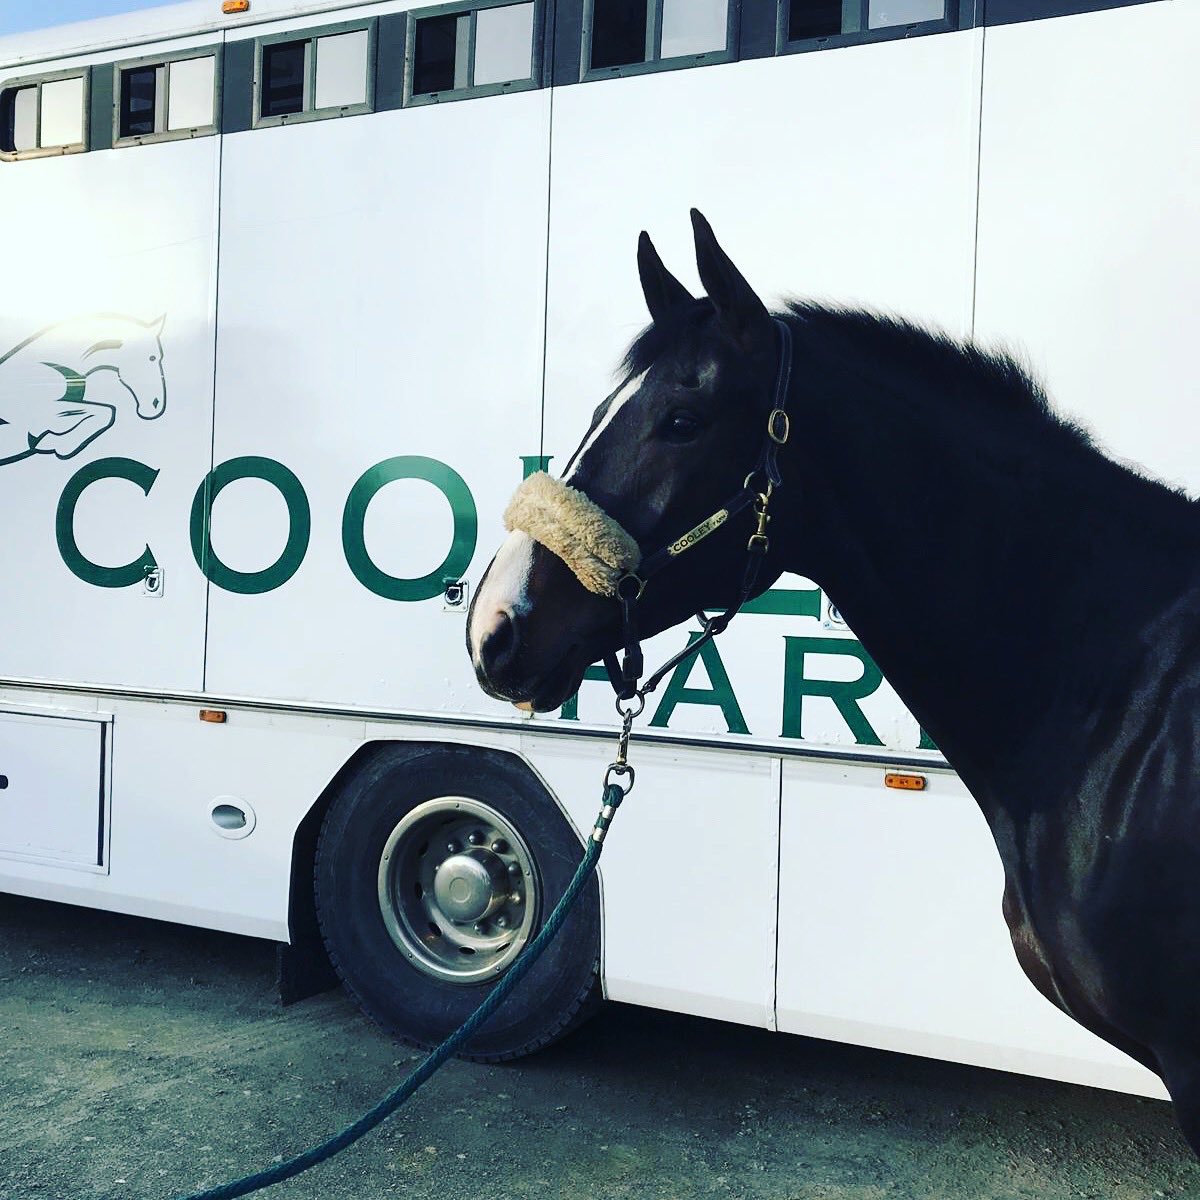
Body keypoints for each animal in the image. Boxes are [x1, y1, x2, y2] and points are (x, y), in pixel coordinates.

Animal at [0, 314, 167, 467]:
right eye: (152, 358)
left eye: (159, 357)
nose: (155, 404)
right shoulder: (39, 411)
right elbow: (104, 411)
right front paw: (55, 444)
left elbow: (102, 412)